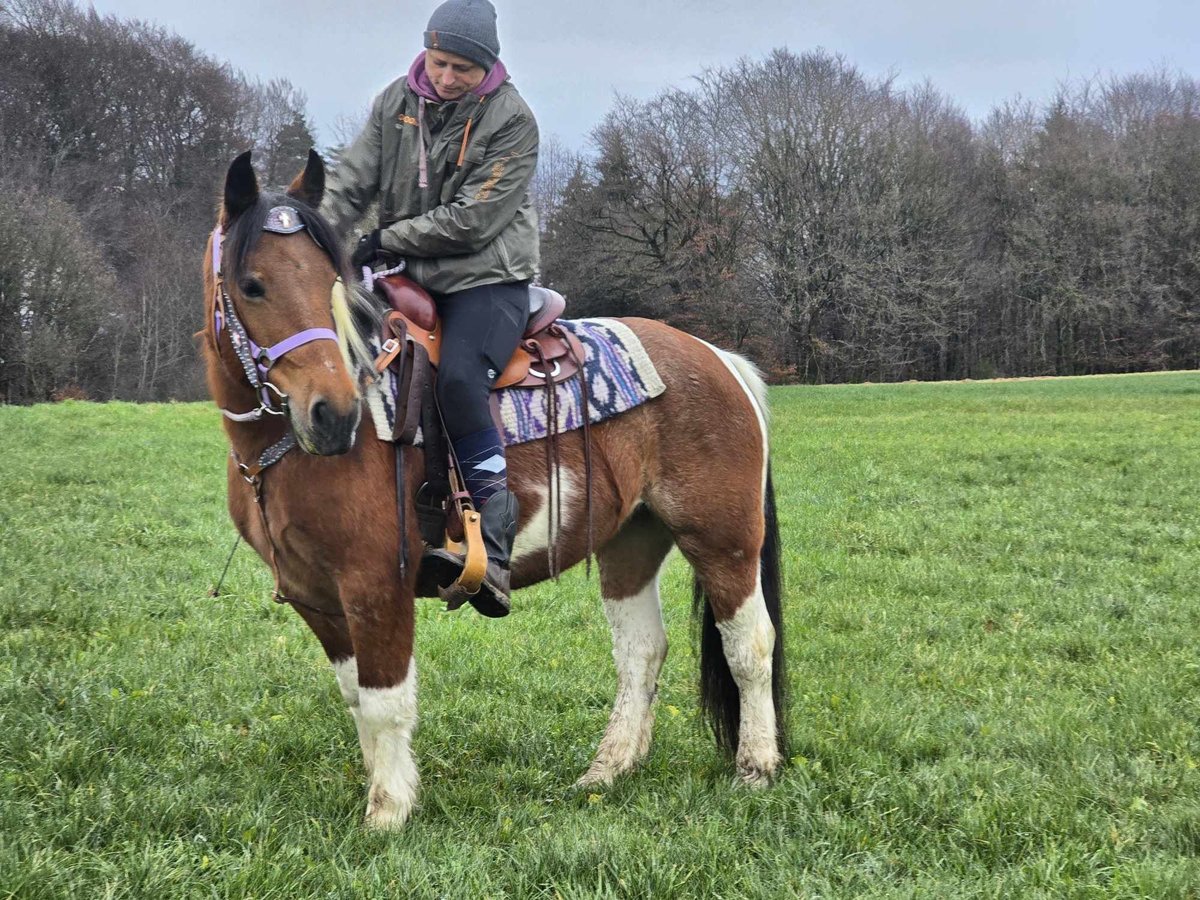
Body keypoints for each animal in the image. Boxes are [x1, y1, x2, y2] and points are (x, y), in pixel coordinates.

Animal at [201, 150, 787, 830]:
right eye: (252, 285)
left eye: (331, 282)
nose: (334, 415)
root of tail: (719, 358)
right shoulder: (316, 599)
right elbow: (355, 699)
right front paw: (382, 791)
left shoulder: (376, 587)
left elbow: (384, 702)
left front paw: (388, 814)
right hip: (630, 543)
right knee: (641, 652)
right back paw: (609, 770)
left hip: (723, 541)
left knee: (749, 646)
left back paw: (755, 768)